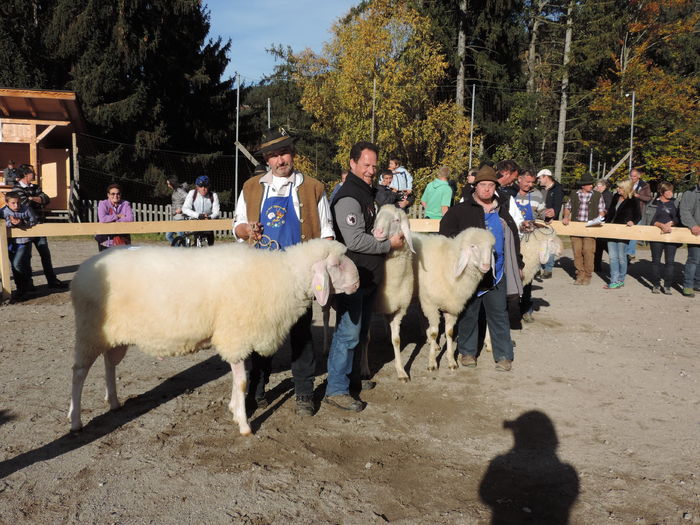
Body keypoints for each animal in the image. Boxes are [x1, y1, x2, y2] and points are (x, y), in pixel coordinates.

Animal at [69, 239, 360, 436]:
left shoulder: (236, 337)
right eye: (336, 265)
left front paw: (234, 410)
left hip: (112, 335)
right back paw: (75, 421)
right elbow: (242, 382)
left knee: (109, 363)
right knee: (79, 373)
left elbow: (238, 379)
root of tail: (83, 270)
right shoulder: (235, 336)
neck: (282, 278)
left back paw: (114, 402)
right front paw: (244, 424)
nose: (358, 283)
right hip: (89, 330)